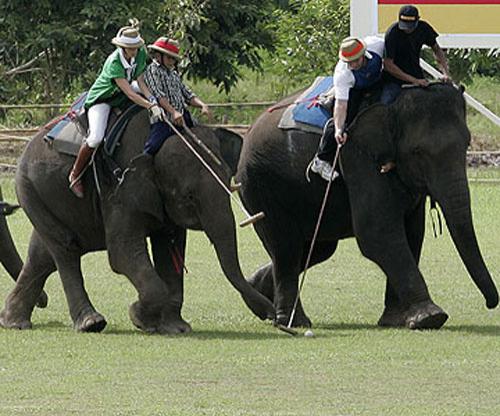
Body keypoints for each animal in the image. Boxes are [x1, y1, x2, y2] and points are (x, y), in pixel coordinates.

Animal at [0, 109, 276, 332]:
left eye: (230, 180)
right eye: (189, 196)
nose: (273, 315)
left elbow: (171, 251)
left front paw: (175, 328)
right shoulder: (120, 189)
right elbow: (122, 254)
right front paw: (140, 318)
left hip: (44, 196)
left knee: (43, 255)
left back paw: (14, 322)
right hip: (31, 187)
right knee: (66, 249)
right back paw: (91, 323)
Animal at [236, 83, 498, 330]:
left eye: (467, 144)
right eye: (418, 152)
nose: (490, 303)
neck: (393, 105)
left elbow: (412, 233)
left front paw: (397, 320)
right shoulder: (356, 154)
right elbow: (378, 232)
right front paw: (431, 317)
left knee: (316, 248)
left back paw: (259, 295)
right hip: (261, 184)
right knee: (287, 247)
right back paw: (293, 321)